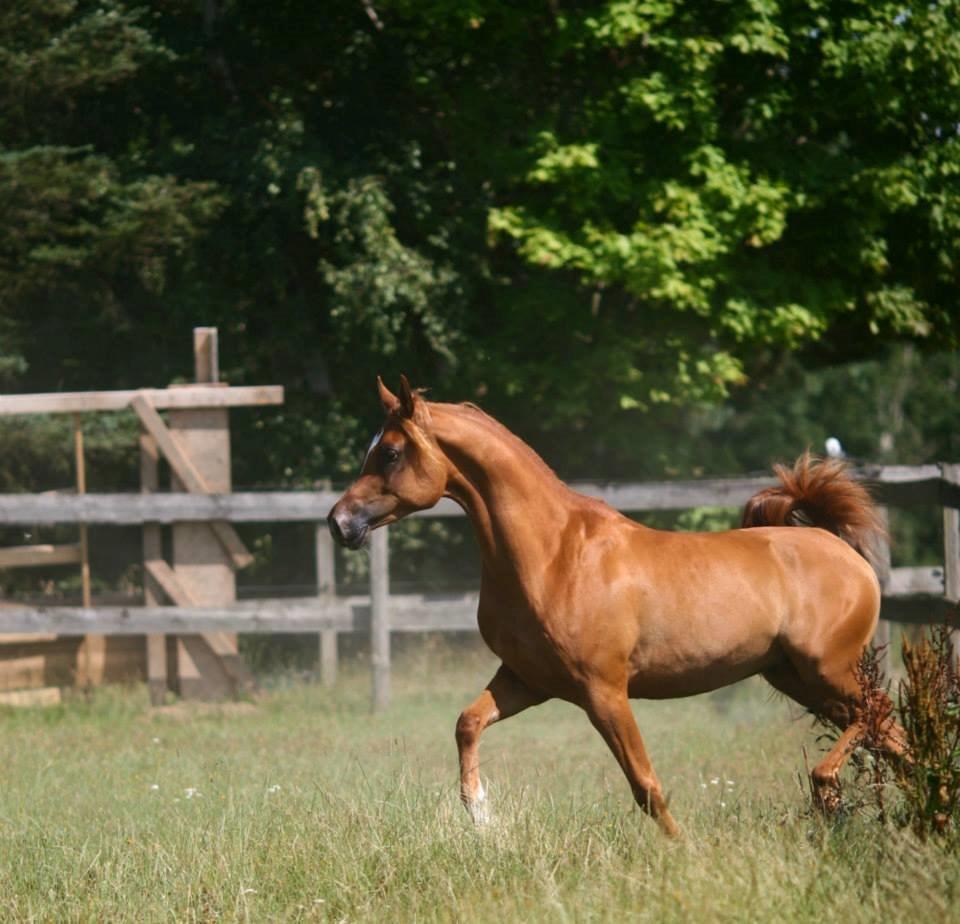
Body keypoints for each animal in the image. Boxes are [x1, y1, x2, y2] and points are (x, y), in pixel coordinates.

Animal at [330, 378, 908, 832]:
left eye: (390, 452)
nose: (339, 523)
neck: (553, 552)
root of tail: (839, 548)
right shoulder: (527, 679)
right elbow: (467, 723)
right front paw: (480, 813)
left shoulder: (603, 692)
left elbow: (645, 784)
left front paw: (683, 853)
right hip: (797, 678)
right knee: (891, 734)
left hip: (827, 670)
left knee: (879, 715)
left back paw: (829, 789)